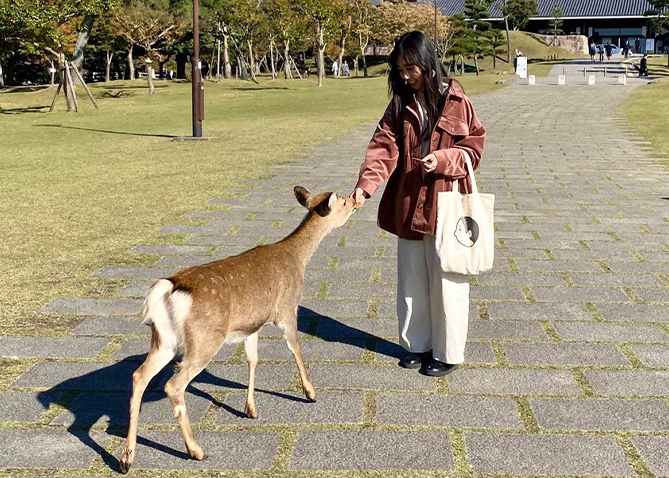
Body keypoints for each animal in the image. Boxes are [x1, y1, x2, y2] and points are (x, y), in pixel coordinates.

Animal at [120, 185, 360, 472]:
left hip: (162, 340)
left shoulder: (251, 325)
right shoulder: (287, 309)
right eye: (343, 202)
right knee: (174, 385)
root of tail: (167, 289)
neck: (297, 259)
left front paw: (251, 409)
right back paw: (196, 450)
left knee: (138, 376)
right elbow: (295, 348)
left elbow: (253, 359)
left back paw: (127, 458)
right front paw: (310, 392)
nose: (357, 202)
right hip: (204, 338)